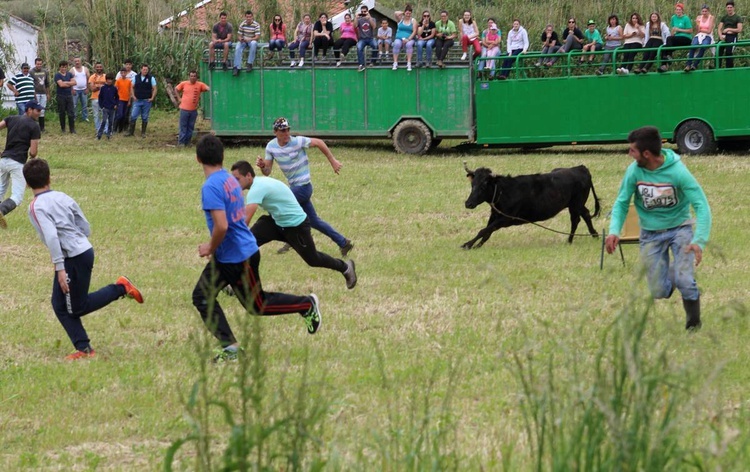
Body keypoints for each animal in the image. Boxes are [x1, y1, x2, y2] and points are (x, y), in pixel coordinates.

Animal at [464, 163, 604, 251]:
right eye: (472, 184)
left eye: (484, 185)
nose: (468, 203)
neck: (504, 191)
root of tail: (581, 168)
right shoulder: (495, 216)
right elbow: (487, 232)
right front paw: (477, 246)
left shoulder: (505, 219)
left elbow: (484, 230)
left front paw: (467, 244)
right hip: (576, 205)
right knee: (584, 215)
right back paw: (591, 236)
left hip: (576, 204)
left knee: (577, 219)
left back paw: (572, 240)